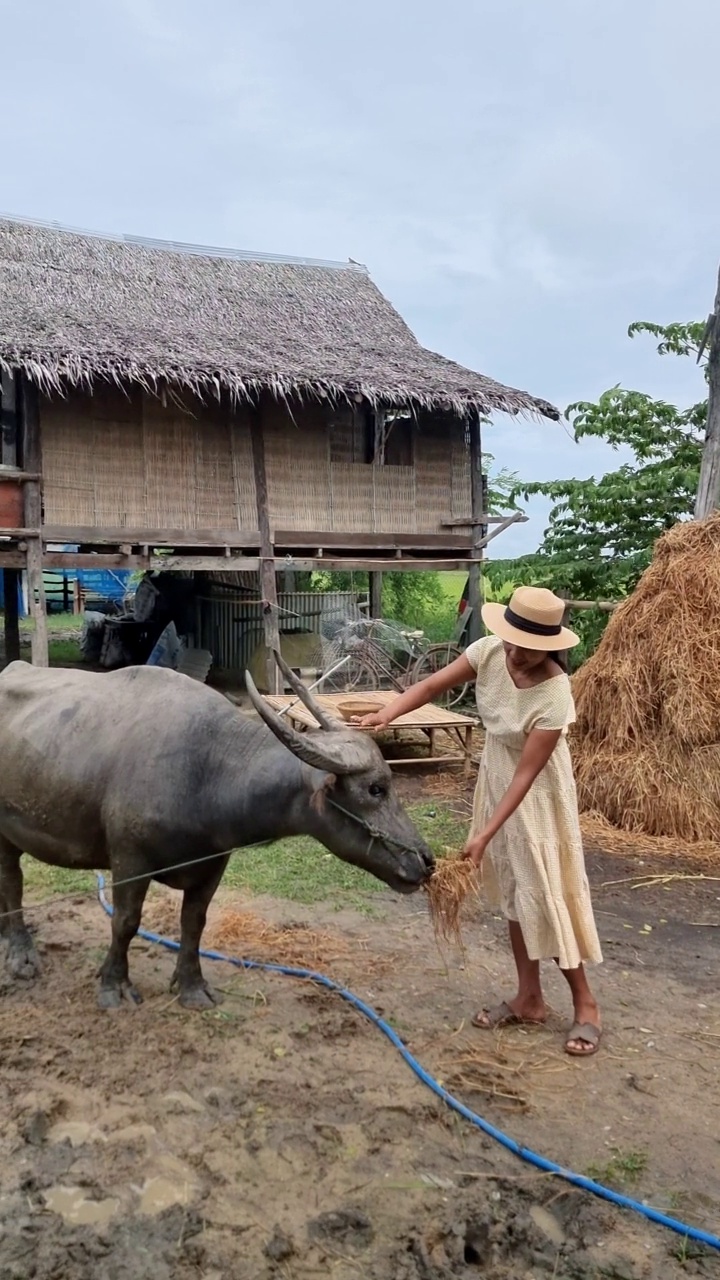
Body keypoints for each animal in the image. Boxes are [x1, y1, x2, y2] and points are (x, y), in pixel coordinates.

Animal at [0, 660, 430, 1008]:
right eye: (376, 788)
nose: (426, 861)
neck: (207, 770)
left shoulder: (213, 865)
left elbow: (194, 923)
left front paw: (192, 987)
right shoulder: (129, 860)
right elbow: (125, 922)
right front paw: (113, 985)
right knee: (13, 883)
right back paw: (21, 953)